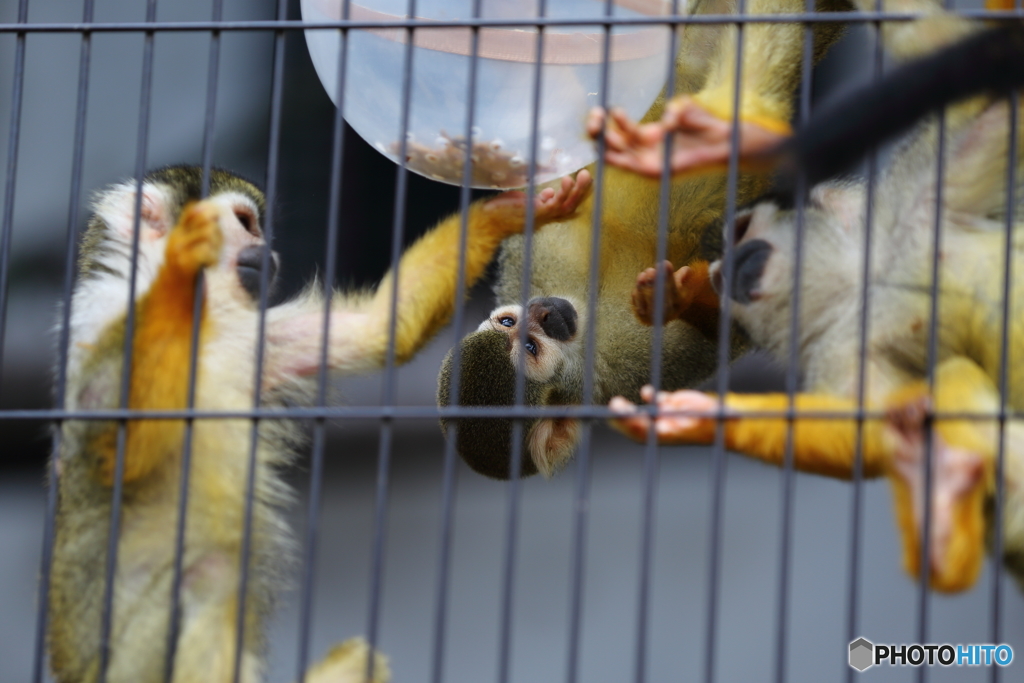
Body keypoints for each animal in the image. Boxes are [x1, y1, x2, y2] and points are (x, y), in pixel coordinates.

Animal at [49, 162, 593, 679]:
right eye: (244, 222)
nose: (265, 251)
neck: (205, 321)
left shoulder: (254, 336)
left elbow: (379, 330)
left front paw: (511, 211)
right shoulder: (100, 318)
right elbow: (115, 450)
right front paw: (182, 263)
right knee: (208, 573)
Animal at [436, 0, 851, 481]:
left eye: (510, 324)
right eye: (530, 347)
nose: (544, 311)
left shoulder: (526, 268)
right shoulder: (619, 379)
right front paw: (676, 299)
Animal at [606, 1, 1024, 593]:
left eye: (741, 234)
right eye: (721, 272)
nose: (724, 268)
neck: (869, 280)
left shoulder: (919, 193)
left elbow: (977, 77)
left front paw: (728, 140)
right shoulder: (846, 342)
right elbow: (867, 431)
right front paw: (703, 419)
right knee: (953, 383)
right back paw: (944, 531)